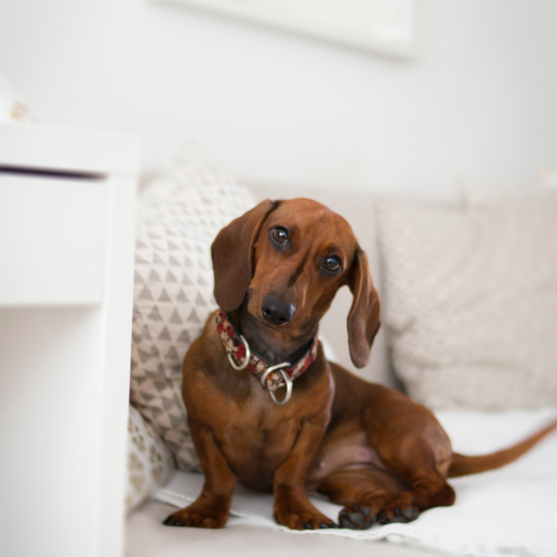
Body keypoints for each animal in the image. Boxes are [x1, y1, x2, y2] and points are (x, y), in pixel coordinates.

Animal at [162, 198, 556, 528]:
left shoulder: (312, 426)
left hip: (394, 430)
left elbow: (289, 474)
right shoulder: (199, 424)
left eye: (332, 262)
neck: (268, 368)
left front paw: (297, 510)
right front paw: (206, 511)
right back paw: (369, 509)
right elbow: (218, 475)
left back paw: (400, 506)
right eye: (280, 234)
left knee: (440, 488)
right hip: (347, 479)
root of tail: (445, 442)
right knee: (384, 490)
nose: (277, 310)